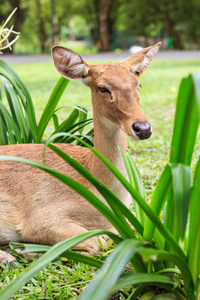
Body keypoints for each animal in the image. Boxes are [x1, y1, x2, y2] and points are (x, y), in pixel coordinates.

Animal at [0, 42, 161, 264]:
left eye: (138, 84)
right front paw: (29, 250)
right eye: (103, 88)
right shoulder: (42, 217)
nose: (143, 128)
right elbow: (96, 243)